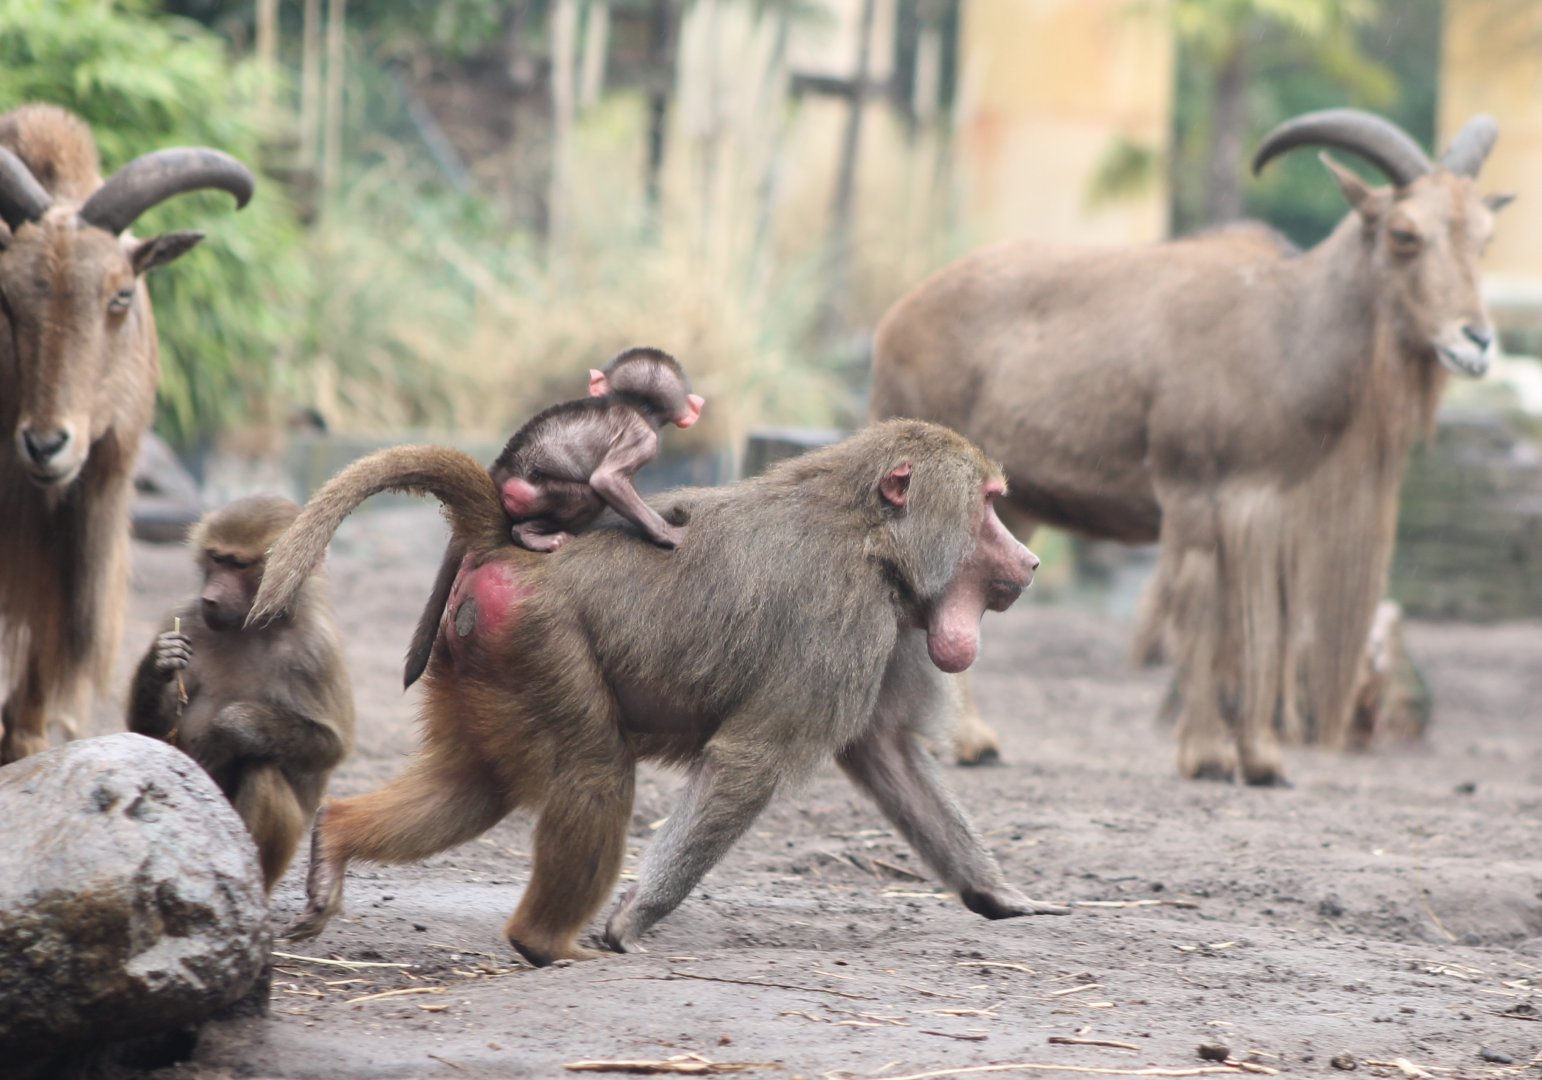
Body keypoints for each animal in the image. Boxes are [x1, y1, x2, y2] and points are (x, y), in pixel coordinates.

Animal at [871, 109, 1509, 785]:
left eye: (1484, 238)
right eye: (1404, 234)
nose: (1476, 341)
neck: (1283, 328)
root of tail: (897, 317)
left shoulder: (1269, 514)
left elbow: (1263, 627)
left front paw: (1261, 758)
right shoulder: (1197, 496)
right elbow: (1205, 618)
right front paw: (1205, 752)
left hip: (1008, 506)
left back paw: (974, 739)